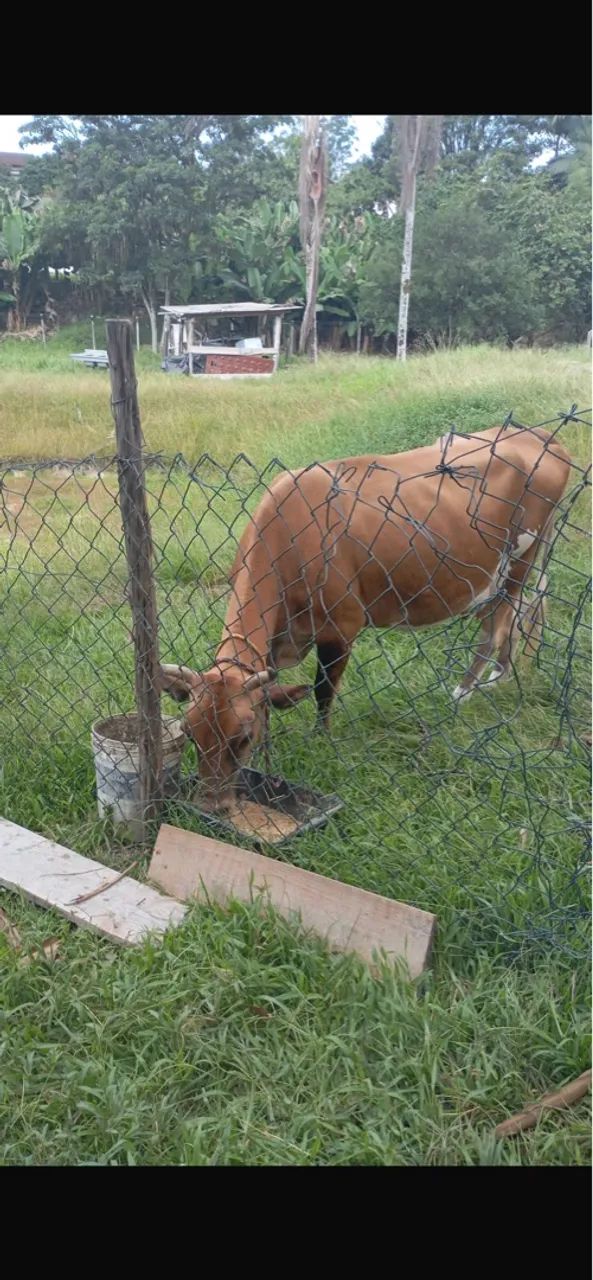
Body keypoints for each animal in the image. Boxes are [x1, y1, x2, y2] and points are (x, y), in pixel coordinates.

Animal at [160, 425, 572, 810]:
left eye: (241, 737)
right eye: (192, 735)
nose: (212, 804)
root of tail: (538, 435)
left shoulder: (341, 628)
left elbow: (323, 692)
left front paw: (321, 741)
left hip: (520, 558)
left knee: (502, 623)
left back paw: (467, 690)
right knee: (518, 614)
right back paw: (500, 676)